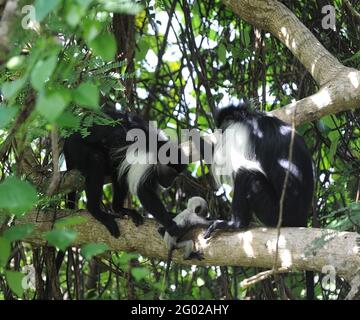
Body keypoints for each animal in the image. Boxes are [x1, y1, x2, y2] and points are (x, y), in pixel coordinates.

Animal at [64, 110, 187, 238]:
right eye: (171, 174)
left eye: (176, 176)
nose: (169, 183)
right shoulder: (146, 162)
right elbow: (144, 191)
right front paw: (171, 225)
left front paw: (172, 215)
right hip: (77, 148)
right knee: (96, 159)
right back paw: (97, 211)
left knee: (118, 172)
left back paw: (120, 209)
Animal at [202, 103, 316, 238]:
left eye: (224, 126)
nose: (221, 132)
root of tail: (300, 219)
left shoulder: (237, 131)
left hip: (276, 213)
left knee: (247, 174)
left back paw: (236, 224)